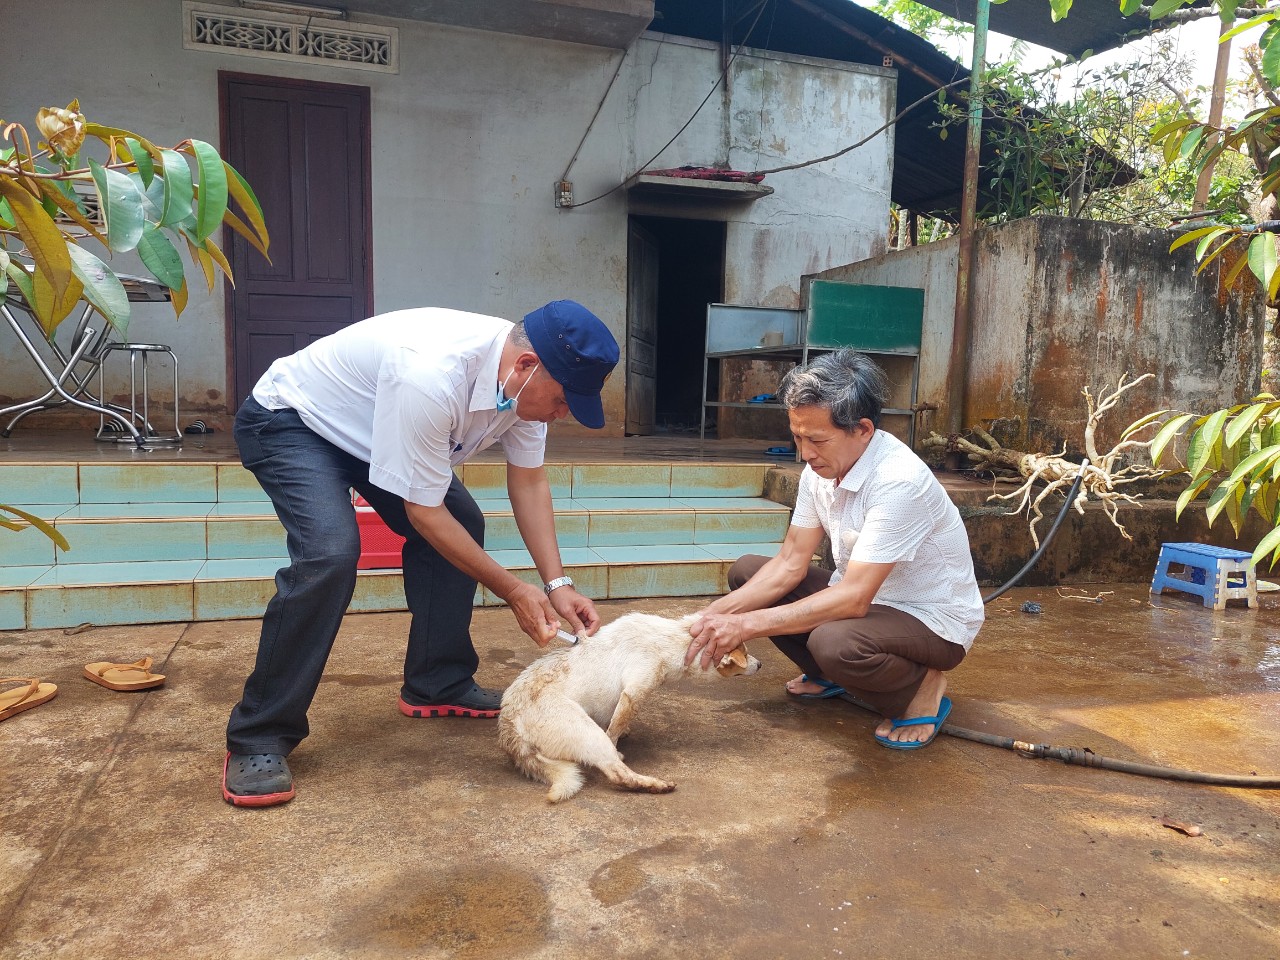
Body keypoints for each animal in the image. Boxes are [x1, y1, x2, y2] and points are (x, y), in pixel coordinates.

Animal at [496, 616, 757, 803]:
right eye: (744, 654)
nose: (760, 664)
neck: (668, 640)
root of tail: (508, 723)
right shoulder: (633, 692)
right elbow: (616, 727)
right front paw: (619, 739)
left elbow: (616, 721)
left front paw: (624, 731)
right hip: (586, 732)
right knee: (617, 774)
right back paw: (655, 785)